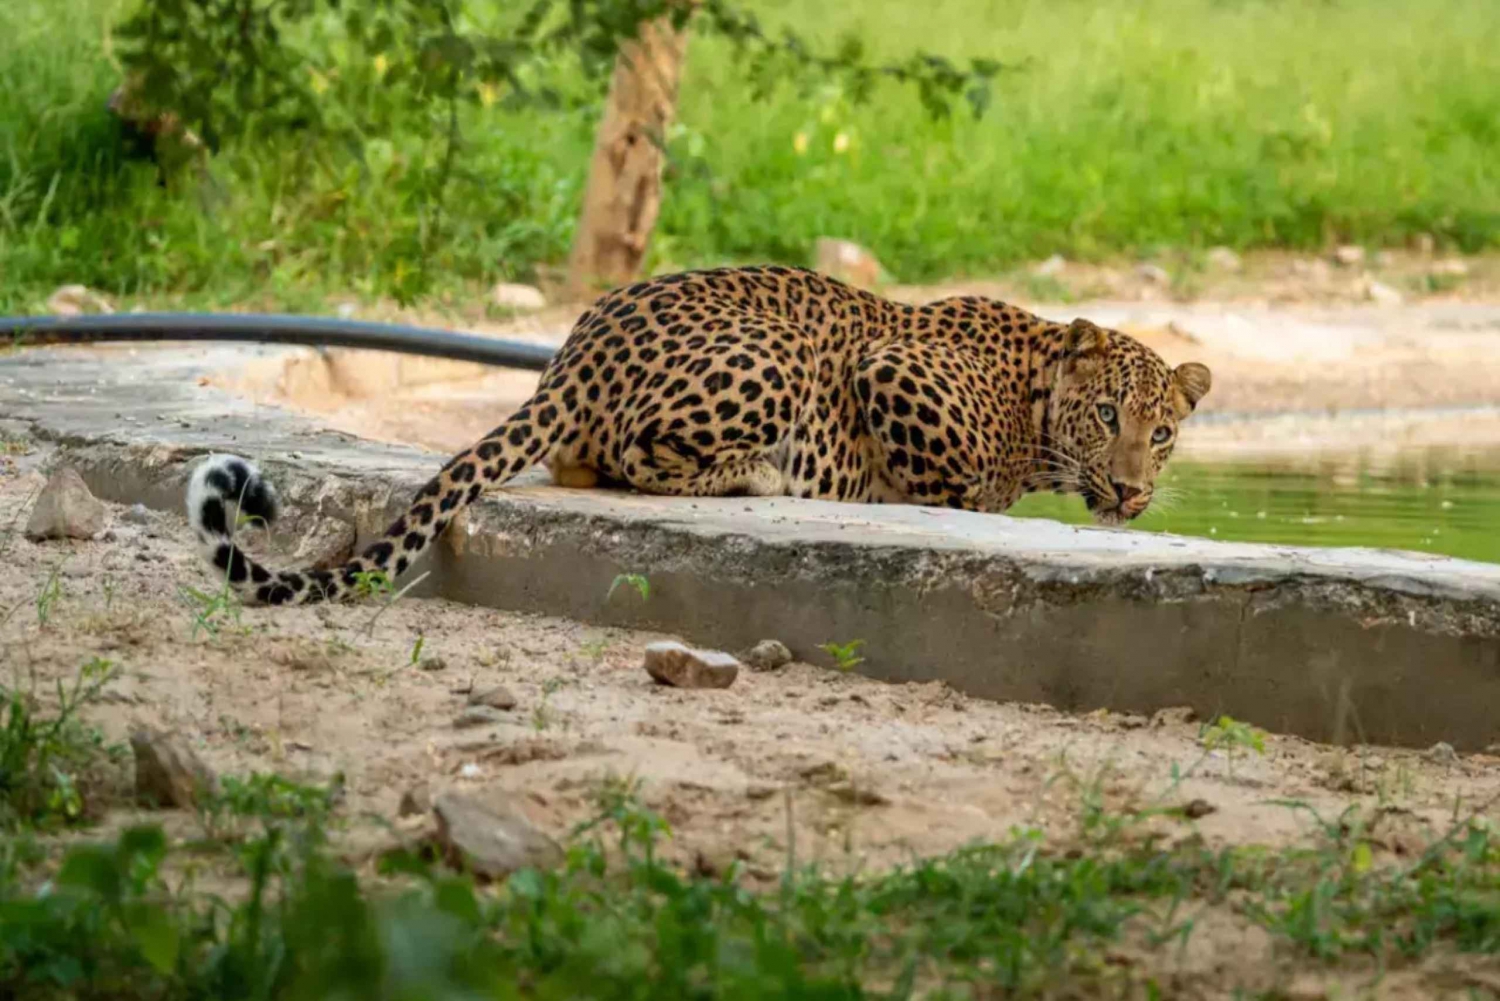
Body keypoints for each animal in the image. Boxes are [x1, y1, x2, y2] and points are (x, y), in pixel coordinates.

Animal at [187, 262, 1212, 606]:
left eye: (1162, 432)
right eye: (1108, 416)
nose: (1131, 489)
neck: (1033, 392)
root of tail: (573, 354)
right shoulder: (889, 366)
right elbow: (959, 486)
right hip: (780, 356)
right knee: (644, 457)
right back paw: (761, 474)